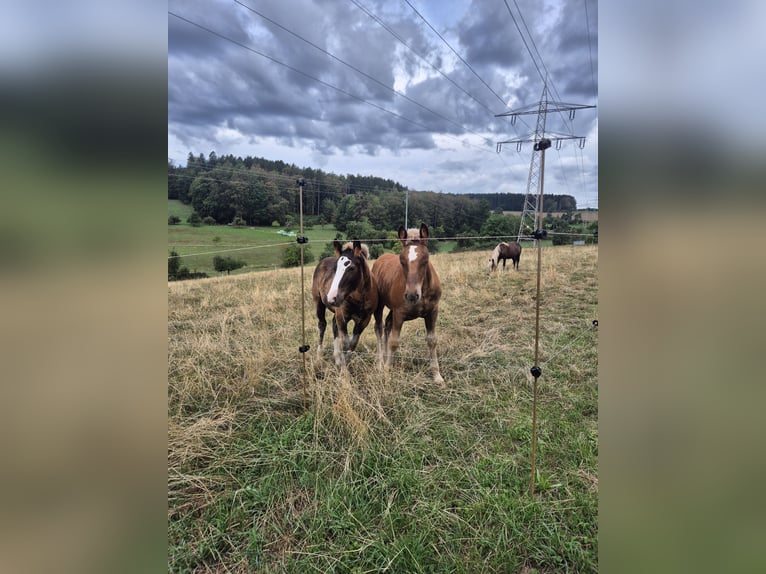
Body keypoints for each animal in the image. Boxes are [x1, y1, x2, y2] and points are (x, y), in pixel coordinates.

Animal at [311, 240, 378, 369]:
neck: (359, 298)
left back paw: (337, 359)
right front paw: (344, 370)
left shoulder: (364, 320)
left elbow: (353, 343)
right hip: (319, 303)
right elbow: (345, 343)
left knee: (333, 325)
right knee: (322, 324)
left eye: (351, 268)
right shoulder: (342, 316)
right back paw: (319, 357)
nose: (331, 297)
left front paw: (344, 362)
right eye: (335, 269)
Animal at [372, 223, 444, 383]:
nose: (411, 295)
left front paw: (437, 375)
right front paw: (387, 372)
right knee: (379, 328)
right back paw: (380, 364)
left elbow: (432, 340)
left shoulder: (432, 311)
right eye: (402, 261)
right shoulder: (399, 313)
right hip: (379, 306)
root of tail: (380, 259)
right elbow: (394, 342)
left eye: (425, 260)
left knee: (387, 325)